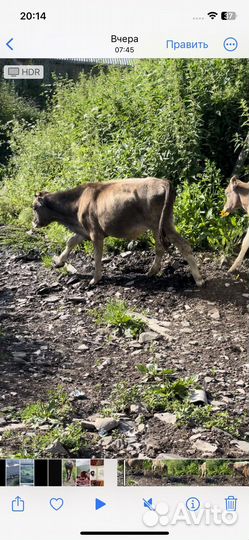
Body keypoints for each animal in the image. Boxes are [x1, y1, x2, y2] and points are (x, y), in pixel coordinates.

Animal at [32, 177, 204, 286]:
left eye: (34, 207)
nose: (34, 223)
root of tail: (164, 182)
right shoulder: (83, 230)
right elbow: (71, 242)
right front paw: (59, 262)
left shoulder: (95, 232)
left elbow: (97, 255)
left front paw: (95, 279)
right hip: (158, 226)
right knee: (160, 248)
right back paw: (151, 272)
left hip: (164, 223)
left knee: (184, 246)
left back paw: (199, 280)